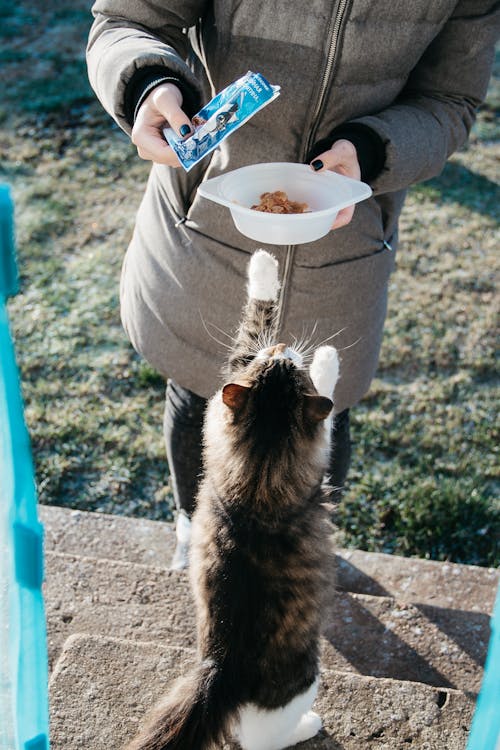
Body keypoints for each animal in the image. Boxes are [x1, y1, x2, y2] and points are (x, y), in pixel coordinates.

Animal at [127, 251, 342, 750]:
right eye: (281, 362)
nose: (282, 347)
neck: (256, 482)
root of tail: (222, 669)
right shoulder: (316, 454)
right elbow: (263, 331)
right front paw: (326, 356)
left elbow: (251, 325)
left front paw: (263, 263)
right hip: (305, 681)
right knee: (266, 738)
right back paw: (310, 726)